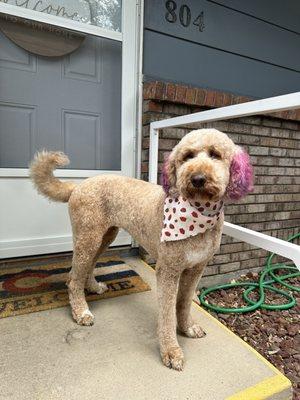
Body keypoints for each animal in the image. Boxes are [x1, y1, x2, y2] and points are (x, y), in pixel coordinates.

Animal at [29, 130, 253, 370]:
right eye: (187, 157)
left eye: (215, 154)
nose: (198, 179)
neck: (198, 213)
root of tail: (79, 186)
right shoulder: (167, 271)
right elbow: (166, 314)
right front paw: (171, 351)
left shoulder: (196, 268)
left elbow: (184, 303)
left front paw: (187, 328)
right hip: (87, 237)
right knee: (73, 278)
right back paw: (81, 312)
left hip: (104, 237)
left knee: (86, 268)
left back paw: (93, 287)